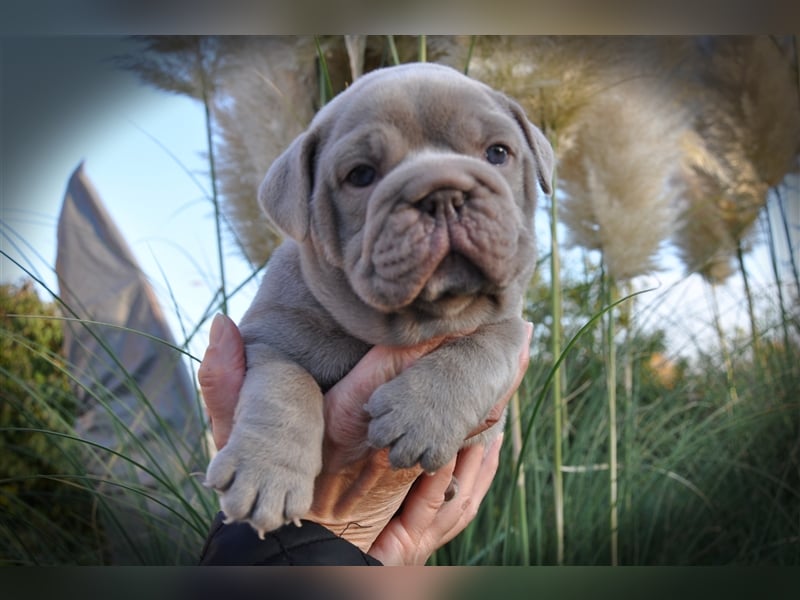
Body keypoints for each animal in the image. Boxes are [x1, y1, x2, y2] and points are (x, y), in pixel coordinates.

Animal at [206, 63, 552, 536]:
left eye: (498, 153)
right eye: (361, 176)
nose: (443, 193)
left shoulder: (512, 328)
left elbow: (478, 349)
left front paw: (421, 415)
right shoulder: (269, 340)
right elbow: (284, 389)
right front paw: (265, 474)